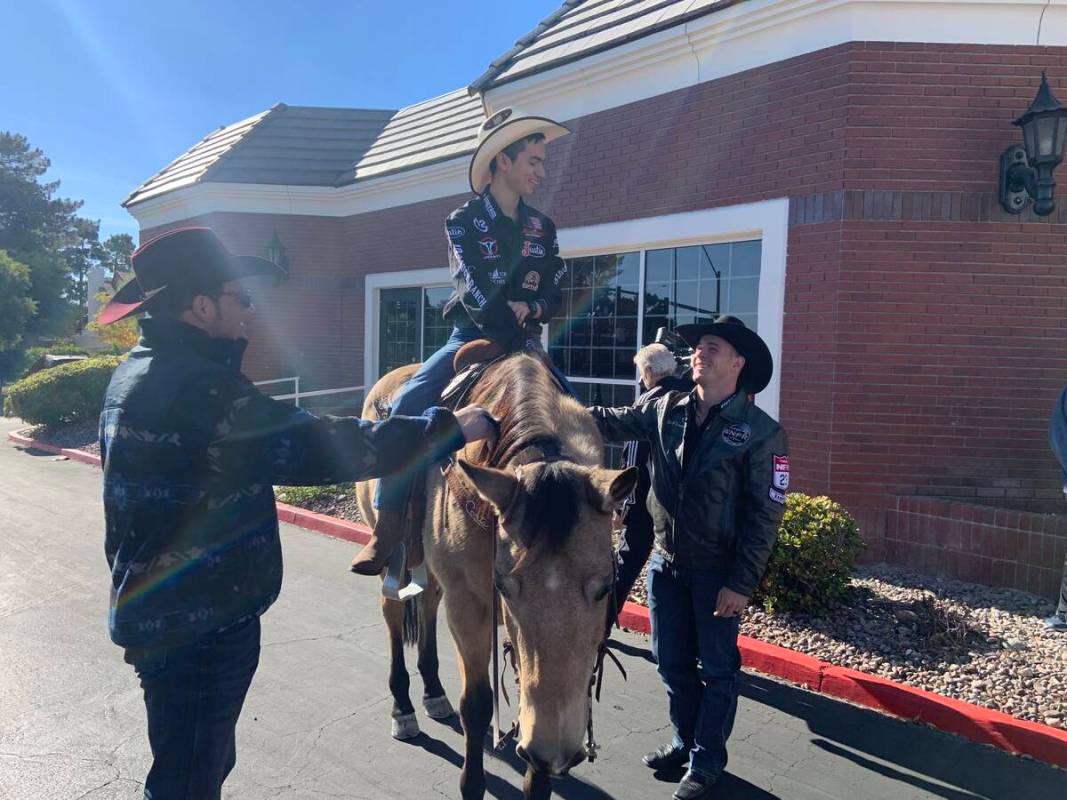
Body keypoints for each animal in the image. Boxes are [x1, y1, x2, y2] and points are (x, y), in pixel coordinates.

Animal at [354, 349, 631, 800]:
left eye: (605, 587)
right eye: (504, 587)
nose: (555, 751)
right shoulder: (470, 606)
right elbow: (478, 705)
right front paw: (472, 783)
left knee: (427, 601)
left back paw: (434, 692)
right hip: (391, 550)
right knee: (393, 610)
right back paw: (404, 709)